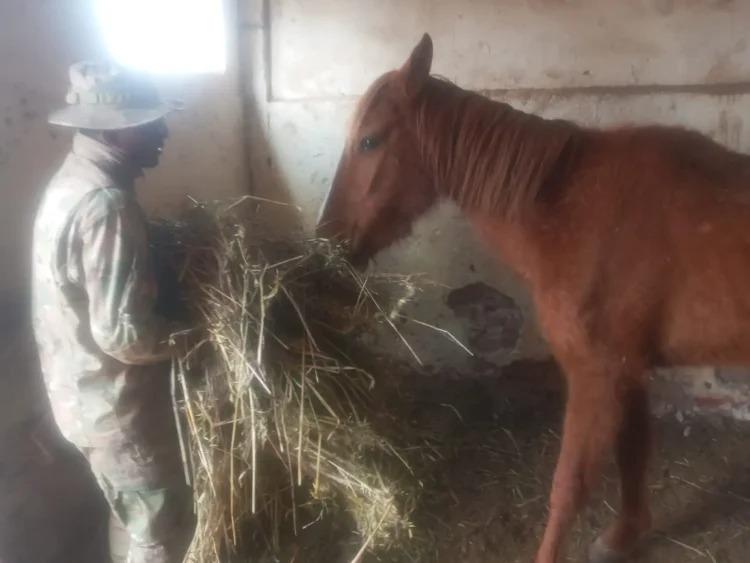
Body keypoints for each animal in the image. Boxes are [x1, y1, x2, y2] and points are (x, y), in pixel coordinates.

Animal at [316, 33, 750, 563]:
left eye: (370, 140)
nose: (326, 241)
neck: (569, 213)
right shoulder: (628, 370)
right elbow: (632, 452)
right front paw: (624, 536)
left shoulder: (598, 373)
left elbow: (569, 486)